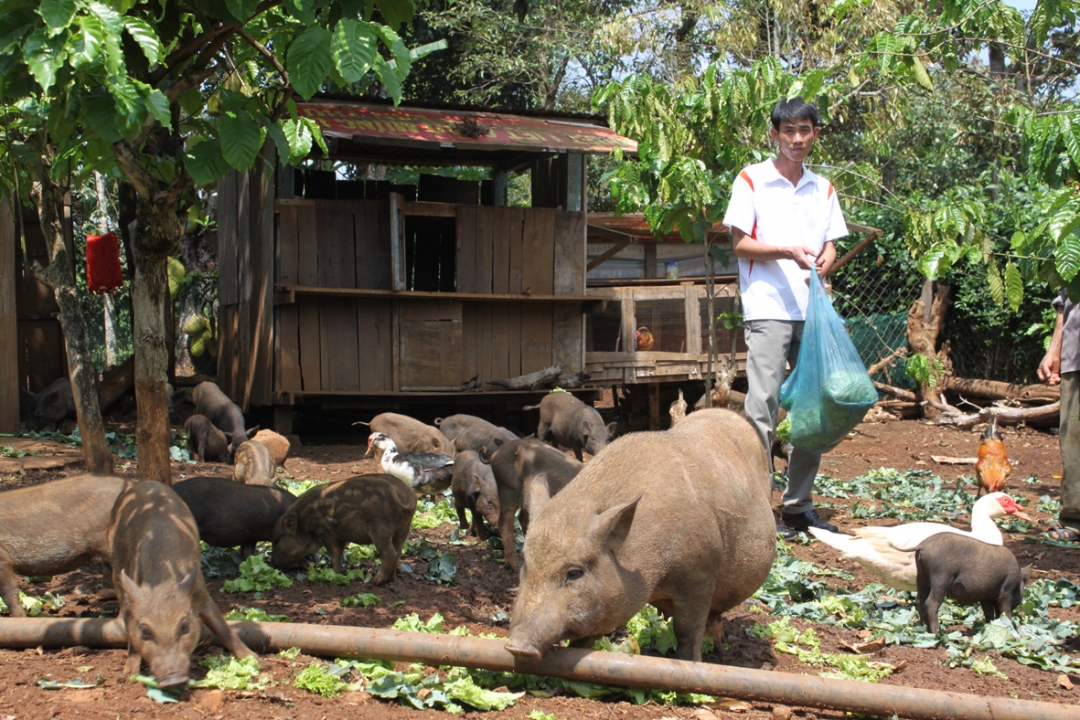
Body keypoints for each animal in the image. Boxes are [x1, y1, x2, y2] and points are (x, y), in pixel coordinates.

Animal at [109, 479, 254, 686]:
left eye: (184, 626)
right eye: (145, 631)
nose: (173, 679)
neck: (162, 581)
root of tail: (144, 482)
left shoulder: (201, 591)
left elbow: (222, 627)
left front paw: (256, 661)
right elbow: (132, 638)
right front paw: (128, 675)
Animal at [505, 410, 777, 664]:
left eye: (574, 573)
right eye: (526, 566)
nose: (517, 646)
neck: (655, 576)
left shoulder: (701, 573)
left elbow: (687, 630)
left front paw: (688, 665)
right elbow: (586, 638)